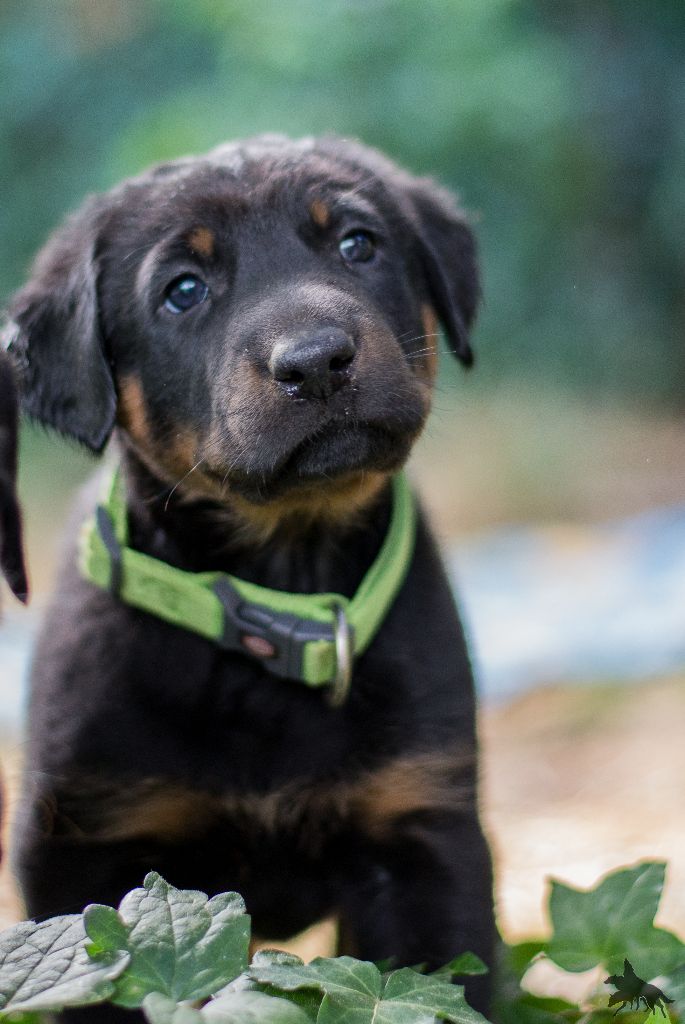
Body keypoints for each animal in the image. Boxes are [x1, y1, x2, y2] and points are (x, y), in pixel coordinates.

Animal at [4, 135, 494, 1019]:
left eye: (358, 245)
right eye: (182, 291)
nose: (317, 362)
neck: (278, 583)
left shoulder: (422, 829)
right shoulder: (82, 846)